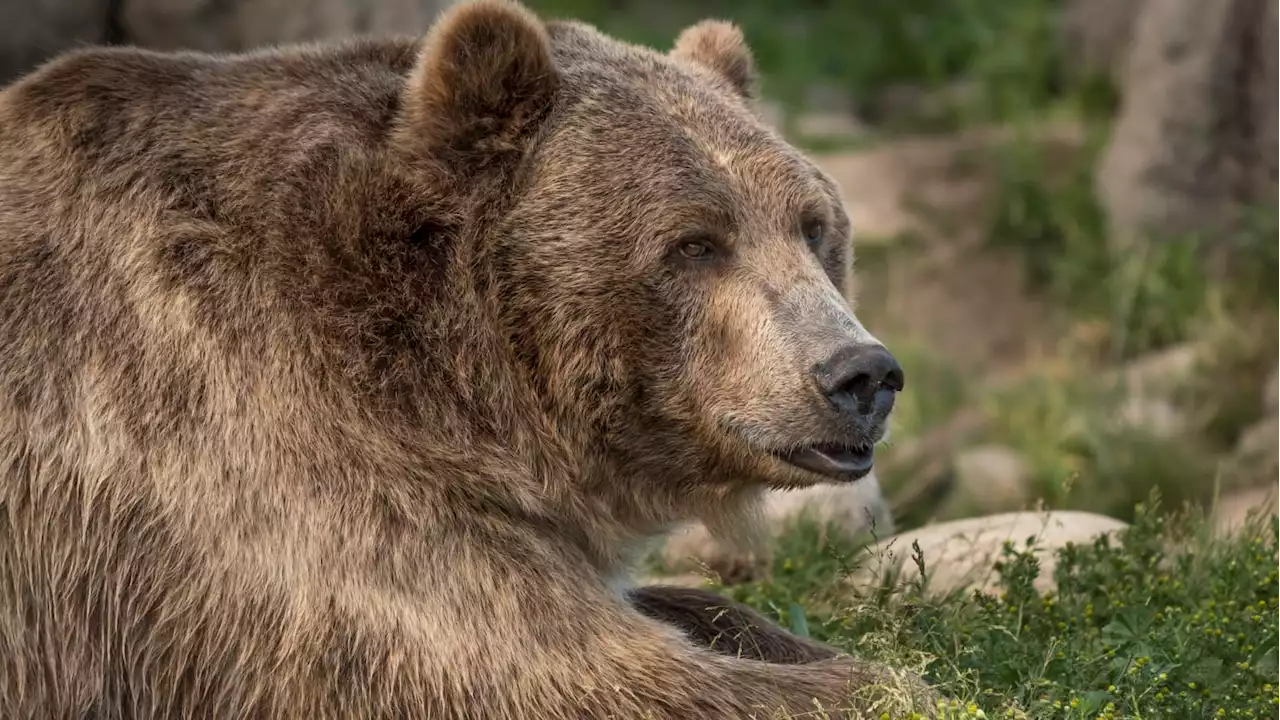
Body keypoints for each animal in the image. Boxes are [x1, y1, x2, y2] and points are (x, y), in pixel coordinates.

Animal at [0, 2, 936, 712]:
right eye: (694, 243)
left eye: (813, 226)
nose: (860, 373)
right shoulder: (253, 459)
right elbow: (559, 666)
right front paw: (883, 679)